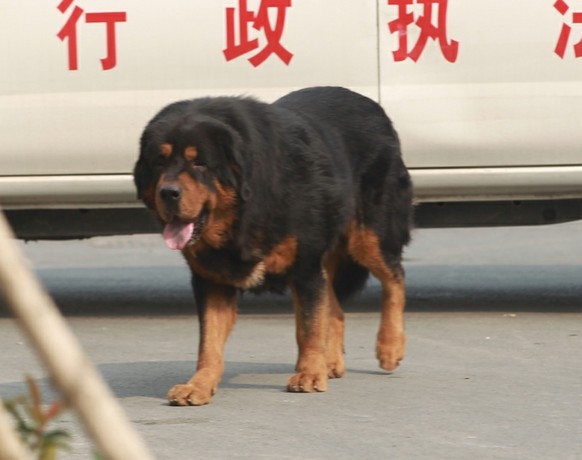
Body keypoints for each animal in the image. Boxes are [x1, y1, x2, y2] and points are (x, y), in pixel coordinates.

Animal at [134, 84, 412, 404]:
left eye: (200, 163)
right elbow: (209, 342)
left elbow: (309, 327)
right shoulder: (211, 280)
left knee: (394, 278)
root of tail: (372, 105)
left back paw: (390, 346)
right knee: (336, 306)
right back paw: (332, 361)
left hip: (368, 236)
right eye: (159, 162)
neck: (241, 215)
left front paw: (309, 373)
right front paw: (199, 384)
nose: (168, 193)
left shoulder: (305, 269)